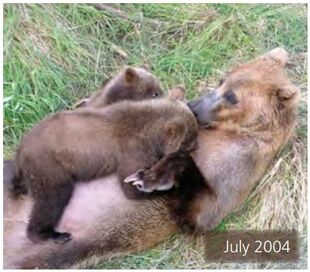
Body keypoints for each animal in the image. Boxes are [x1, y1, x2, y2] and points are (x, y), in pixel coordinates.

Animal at [1, 47, 298, 268]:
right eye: (222, 79)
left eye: (233, 96)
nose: (195, 105)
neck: (229, 132)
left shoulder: (236, 172)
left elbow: (200, 212)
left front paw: (150, 178)